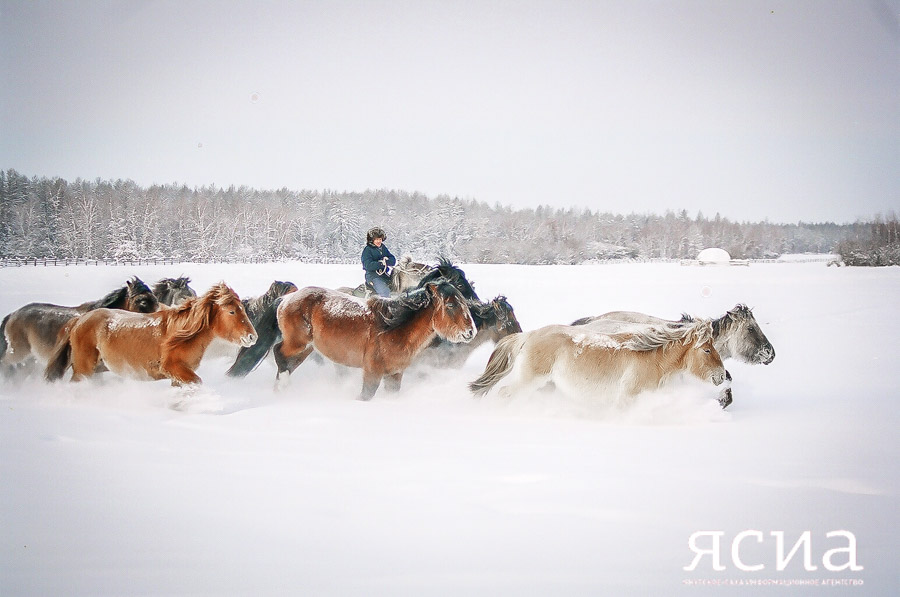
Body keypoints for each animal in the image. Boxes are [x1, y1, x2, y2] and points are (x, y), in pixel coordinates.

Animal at [45, 282, 256, 384]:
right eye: (232, 311)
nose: (252, 337)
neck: (181, 335)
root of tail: (79, 321)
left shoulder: (179, 375)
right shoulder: (173, 368)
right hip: (84, 369)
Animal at [272, 280, 478, 400]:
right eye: (450, 305)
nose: (471, 331)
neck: (393, 329)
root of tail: (287, 299)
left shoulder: (395, 374)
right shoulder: (372, 371)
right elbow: (366, 395)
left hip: (307, 348)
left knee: (288, 363)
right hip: (298, 343)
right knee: (280, 355)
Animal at [468, 318, 728, 402]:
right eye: (707, 350)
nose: (722, 376)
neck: (653, 358)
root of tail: (530, 335)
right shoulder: (628, 396)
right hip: (529, 380)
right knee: (505, 393)